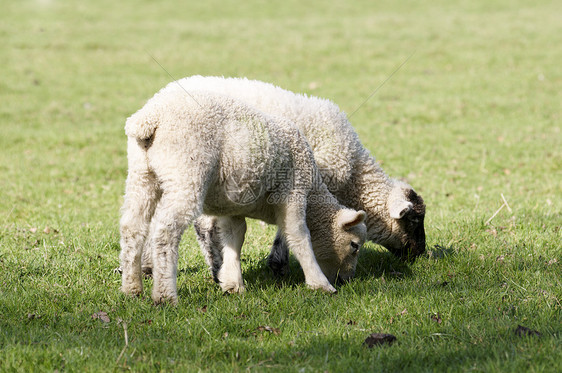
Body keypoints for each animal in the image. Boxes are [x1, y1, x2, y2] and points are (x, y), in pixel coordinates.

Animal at [118, 85, 366, 304]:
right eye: (354, 245)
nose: (346, 280)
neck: (314, 189)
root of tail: (149, 119)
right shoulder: (292, 191)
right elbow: (298, 235)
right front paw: (320, 284)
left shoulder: (231, 207)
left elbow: (234, 238)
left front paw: (232, 284)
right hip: (186, 174)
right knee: (165, 232)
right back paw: (165, 296)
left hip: (141, 176)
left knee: (132, 227)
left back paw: (132, 288)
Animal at [163, 75, 424, 274]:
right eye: (413, 219)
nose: (421, 254)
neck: (356, 178)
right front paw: (279, 264)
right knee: (202, 226)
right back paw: (216, 269)